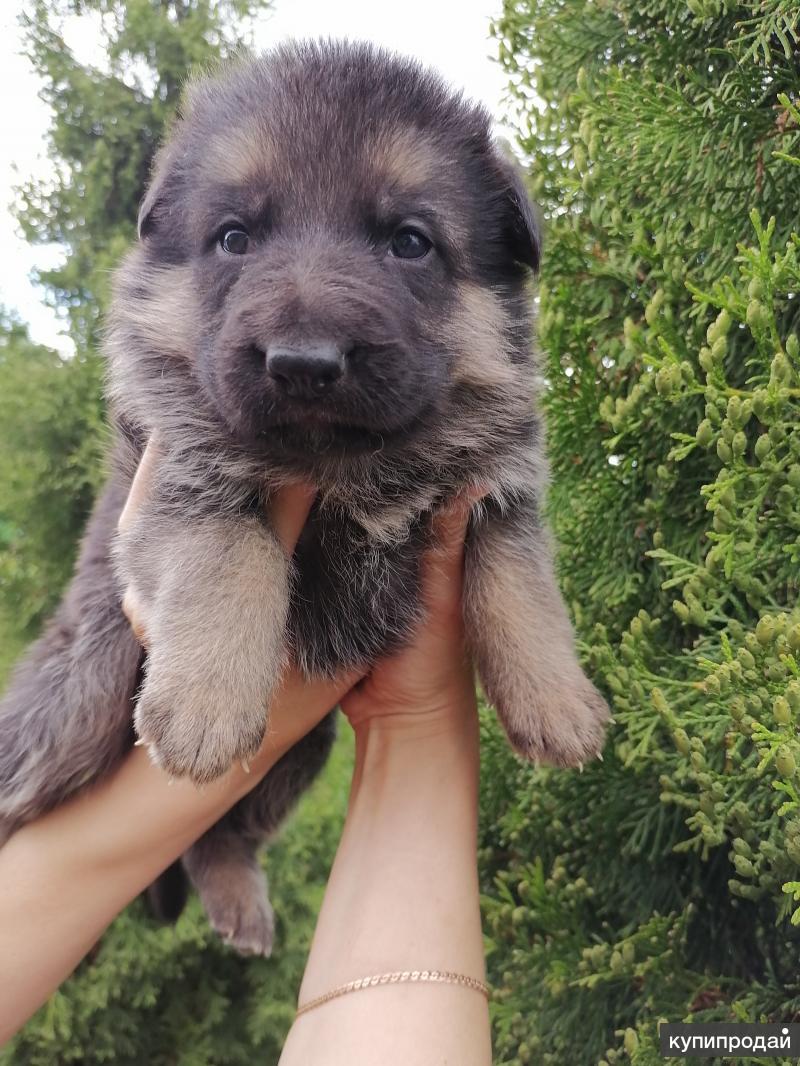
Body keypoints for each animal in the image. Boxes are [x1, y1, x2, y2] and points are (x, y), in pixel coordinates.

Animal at [0, 43, 605, 959]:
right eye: (234, 238)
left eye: (410, 242)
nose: (304, 363)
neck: (347, 464)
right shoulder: (179, 470)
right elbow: (232, 552)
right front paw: (207, 701)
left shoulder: (498, 487)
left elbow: (521, 587)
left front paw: (557, 700)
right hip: (81, 705)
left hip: (299, 754)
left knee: (216, 835)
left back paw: (237, 901)